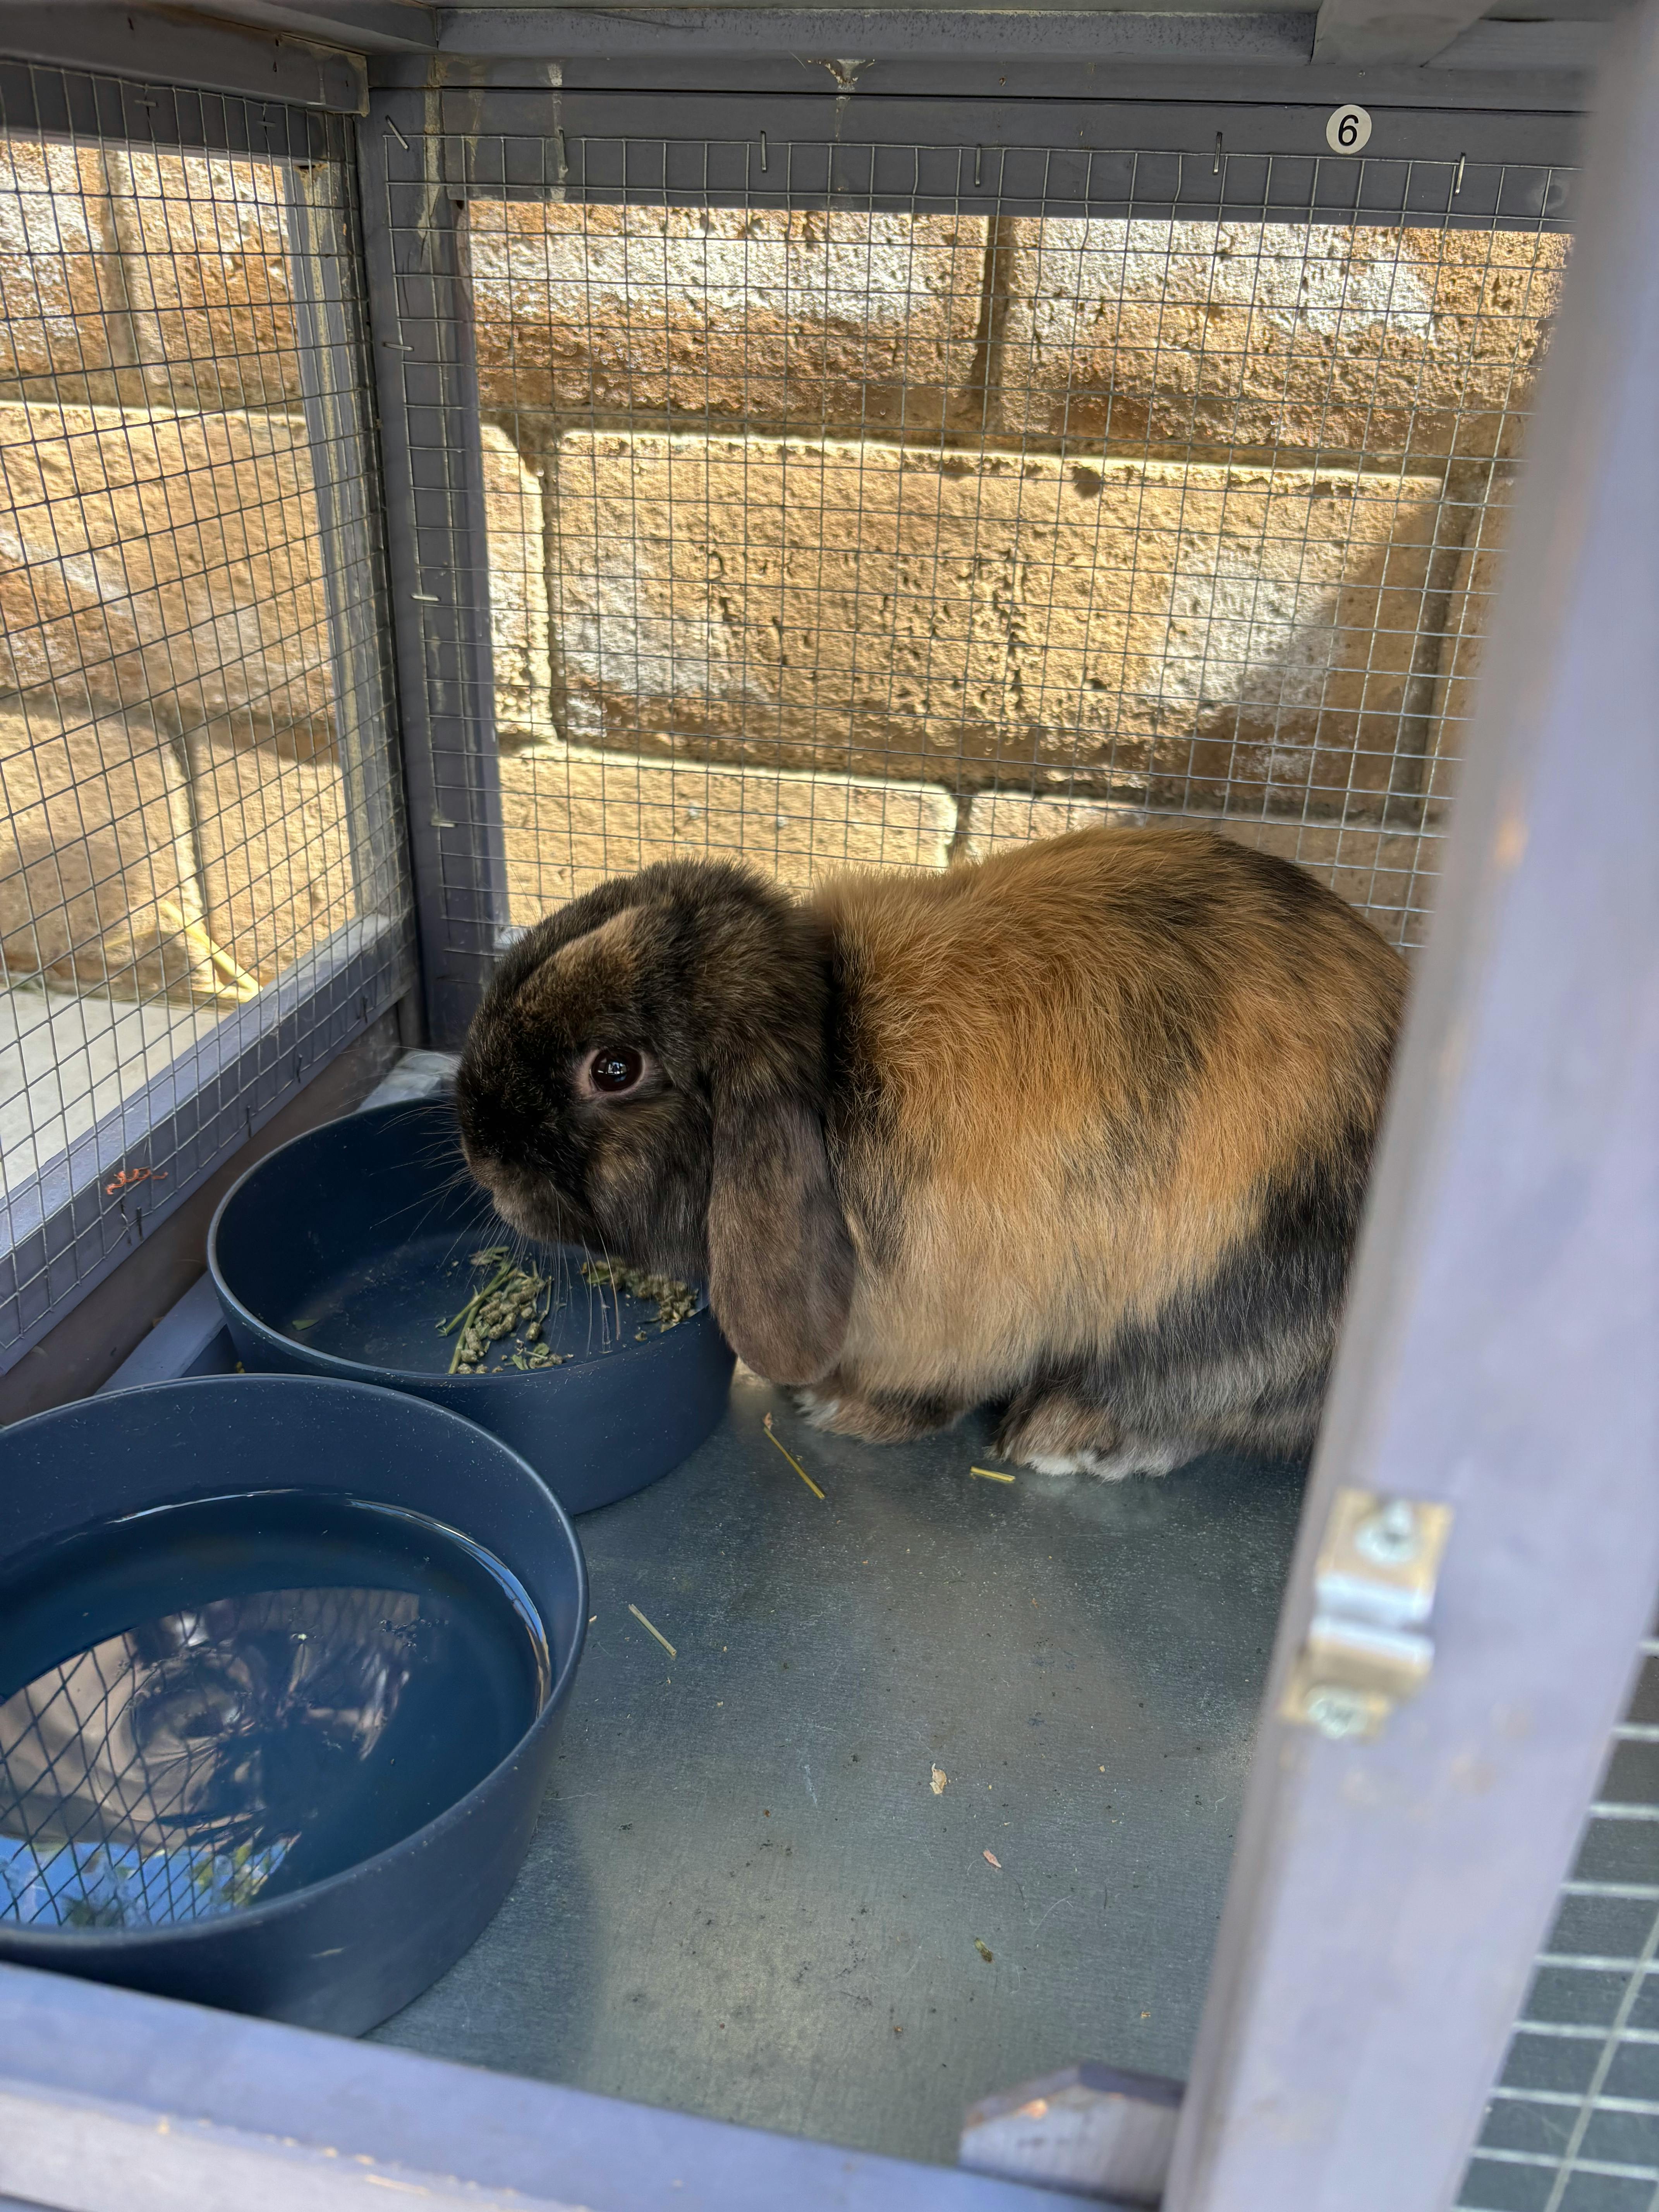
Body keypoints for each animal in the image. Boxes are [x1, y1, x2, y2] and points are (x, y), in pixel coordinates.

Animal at [453, 825, 1405, 1476]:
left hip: (1217, 1315)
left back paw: (1063, 1437)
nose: (480, 1156)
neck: (834, 1049)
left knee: (1189, 1405)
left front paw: (835, 1409)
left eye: (615, 1068)